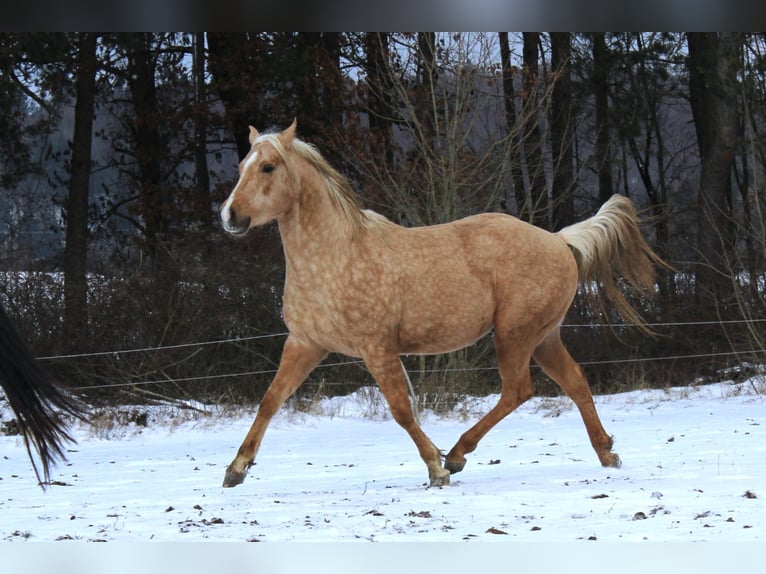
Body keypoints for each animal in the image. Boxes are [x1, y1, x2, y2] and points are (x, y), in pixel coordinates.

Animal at [219, 119, 665, 488]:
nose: (230, 216)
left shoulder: (377, 347)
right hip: (543, 337)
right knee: (574, 382)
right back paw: (606, 453)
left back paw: (457, 455)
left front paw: (435, 467)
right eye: (242, 165)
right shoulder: (305, 344)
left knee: (518, 390)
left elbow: (402, 409)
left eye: (268, 167)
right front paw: (235, 470)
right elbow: (270, 400)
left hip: (515, 335)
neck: (334, 256)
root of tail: (558, 239)